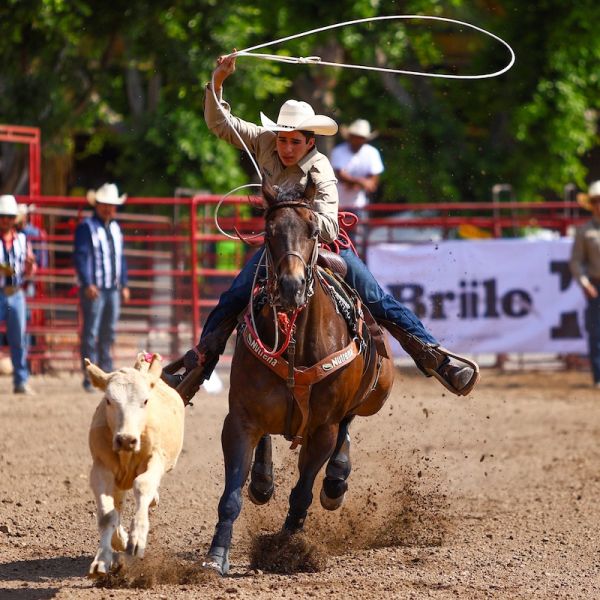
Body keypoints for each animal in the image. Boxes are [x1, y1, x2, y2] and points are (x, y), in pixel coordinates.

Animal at [204, 184, 396, 576]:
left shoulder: (322, 428)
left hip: (375, 393)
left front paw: (287, 548)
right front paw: (217, 555)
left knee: (348, 424)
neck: (296, 345)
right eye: (268, 232)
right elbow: (231, 495)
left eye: (313, 230)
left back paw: (336, 479)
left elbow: (303, 491)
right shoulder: (240, 420)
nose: (291, 287)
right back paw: (263, 479)